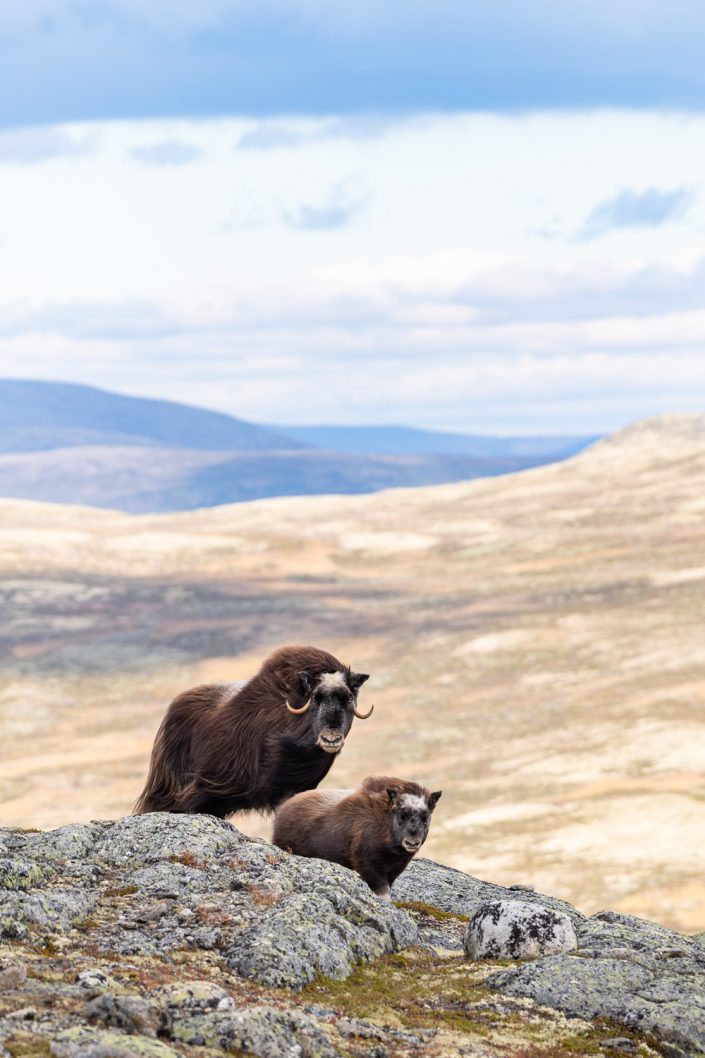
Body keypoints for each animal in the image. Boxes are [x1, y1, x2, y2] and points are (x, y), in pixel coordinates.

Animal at [269, 774, 440, 897]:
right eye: (402, 814)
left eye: (425, 816)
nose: (413, 841)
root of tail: (283, 808)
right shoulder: (369, 866)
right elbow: (383, 890)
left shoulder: (393, 870)